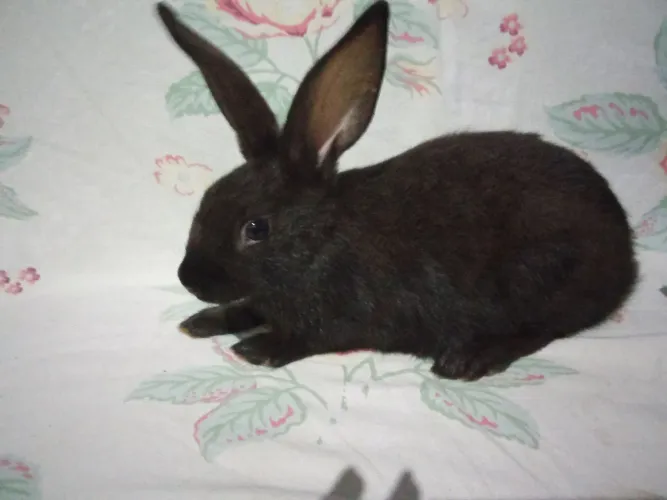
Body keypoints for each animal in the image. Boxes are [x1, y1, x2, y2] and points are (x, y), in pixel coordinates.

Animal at [156, 0, 638, 381]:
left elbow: (308, 336)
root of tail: (625, 253)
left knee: (541, 329)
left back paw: (466, 359)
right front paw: (201, 322)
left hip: (540, 276)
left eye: (256, 228)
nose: (188, 279)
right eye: (206, 201)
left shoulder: (346, 315)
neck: (320, 242)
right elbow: (247, 309)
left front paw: (255, 349)